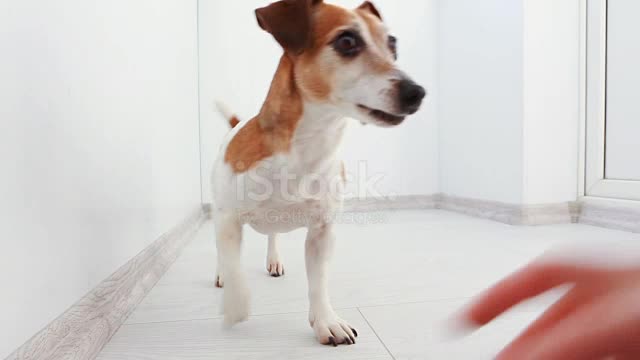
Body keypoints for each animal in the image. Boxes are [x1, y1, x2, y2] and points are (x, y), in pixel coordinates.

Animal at [212, 0, 428, 346]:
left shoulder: (322, 233)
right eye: (347, 41)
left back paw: (274, 260)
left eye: (392, 44)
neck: (306, 147)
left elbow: (319, 282)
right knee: (223, 253)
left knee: (272, 235)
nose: (417, 92)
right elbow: (233, 265)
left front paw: (326, 321)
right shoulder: (228, 219)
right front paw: (236, 304)